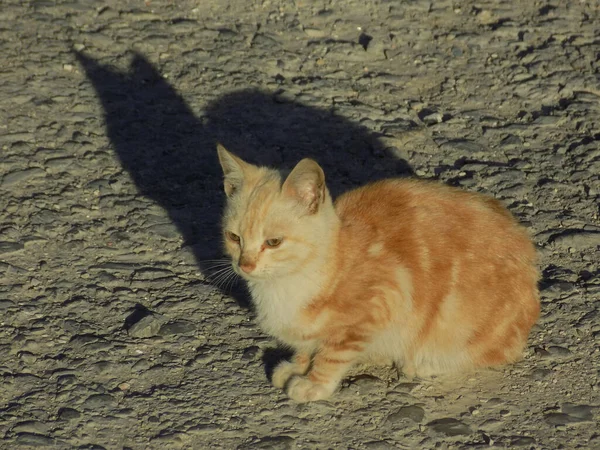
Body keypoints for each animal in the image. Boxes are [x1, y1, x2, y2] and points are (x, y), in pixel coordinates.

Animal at [216, 146, 540, 402]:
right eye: (234, 237)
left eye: (273, 242)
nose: (245, 265)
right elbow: (308, 345)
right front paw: (298, 365)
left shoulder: (382, 300)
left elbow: (333, 353)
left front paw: (314, 383)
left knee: (496, 353)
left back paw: (424, 363)